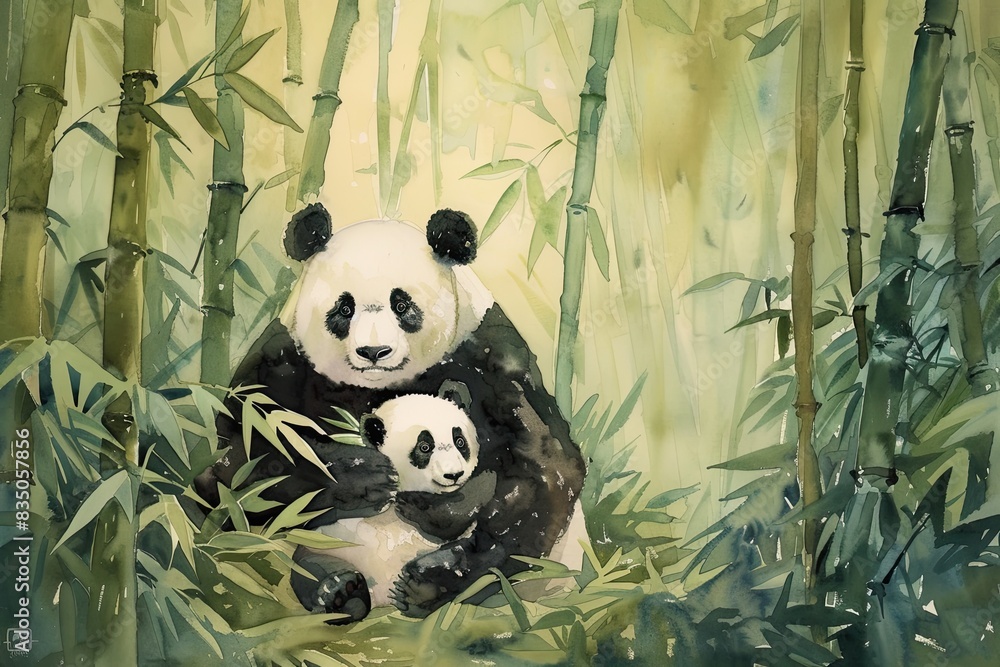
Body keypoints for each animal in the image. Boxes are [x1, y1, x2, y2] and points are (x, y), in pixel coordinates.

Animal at [195, 204, 587, 619]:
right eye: (344, 308)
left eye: (402, 305)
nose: (374, 352)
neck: (379, 386)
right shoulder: (280, 362)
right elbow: (236, 463)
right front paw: (363, 475)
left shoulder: (490, 357)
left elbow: (544, 468)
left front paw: (433, 573)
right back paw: (336, 588)